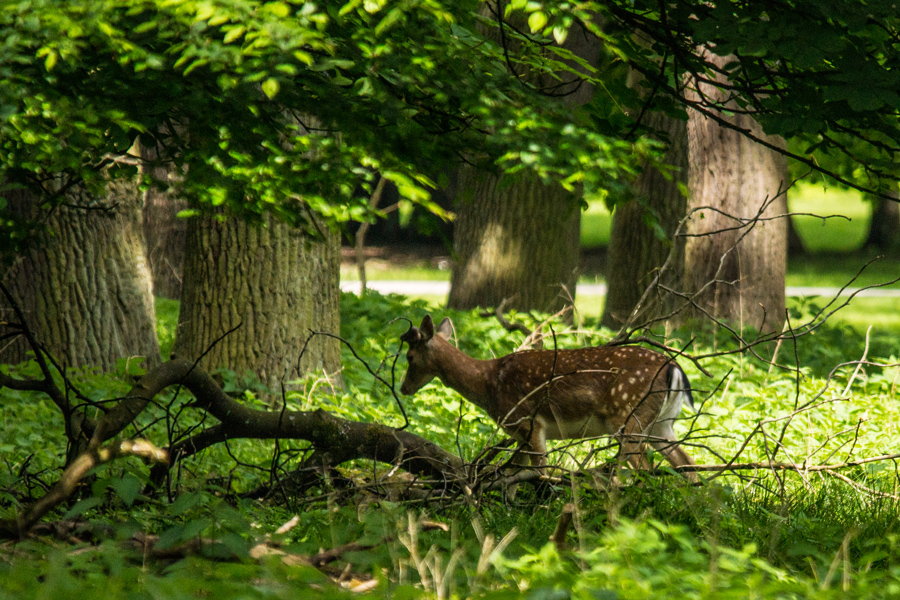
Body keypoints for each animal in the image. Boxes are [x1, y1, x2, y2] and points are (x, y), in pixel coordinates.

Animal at [398, 314, 700, 482]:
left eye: (409, 356)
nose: (403, 388)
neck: (488, 383)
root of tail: (675, 368)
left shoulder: (529, 423)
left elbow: (540, 473)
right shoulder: (518, 434)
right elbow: (513, 476)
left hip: (628, 416)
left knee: (645, 467)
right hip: (661, 423)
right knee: (687, 463)